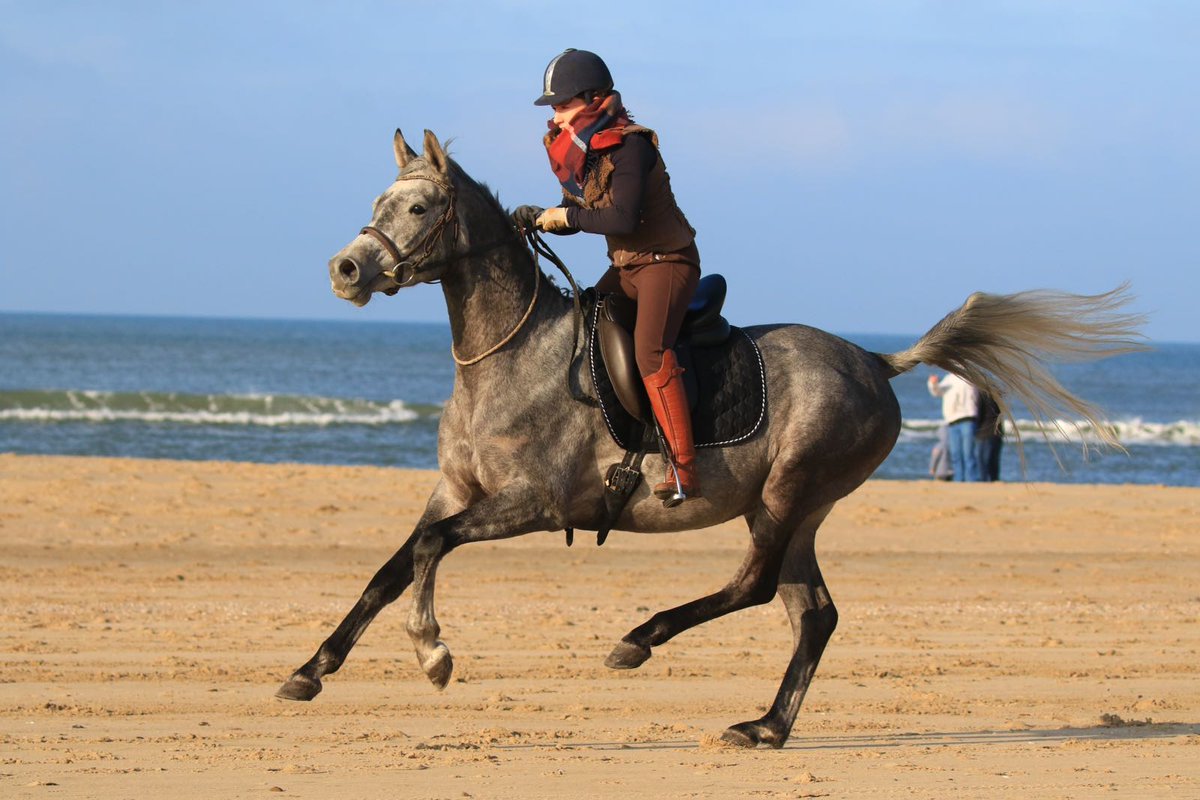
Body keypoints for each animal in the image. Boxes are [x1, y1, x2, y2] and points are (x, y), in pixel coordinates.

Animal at [276, 128, 1144, 748]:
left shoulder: (530, 503)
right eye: (381, 199)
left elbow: (428, 554)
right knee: (813, 613)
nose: (345, 270)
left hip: (790, 493)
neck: (507, 358)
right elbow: (390, 570)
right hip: (796, 510)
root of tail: (872, 360)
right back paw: (765, 726)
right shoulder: (456, 491)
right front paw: (311, 671)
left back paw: (639, 641)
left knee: (756, 587)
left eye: (420, 208)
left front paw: (433, 653)